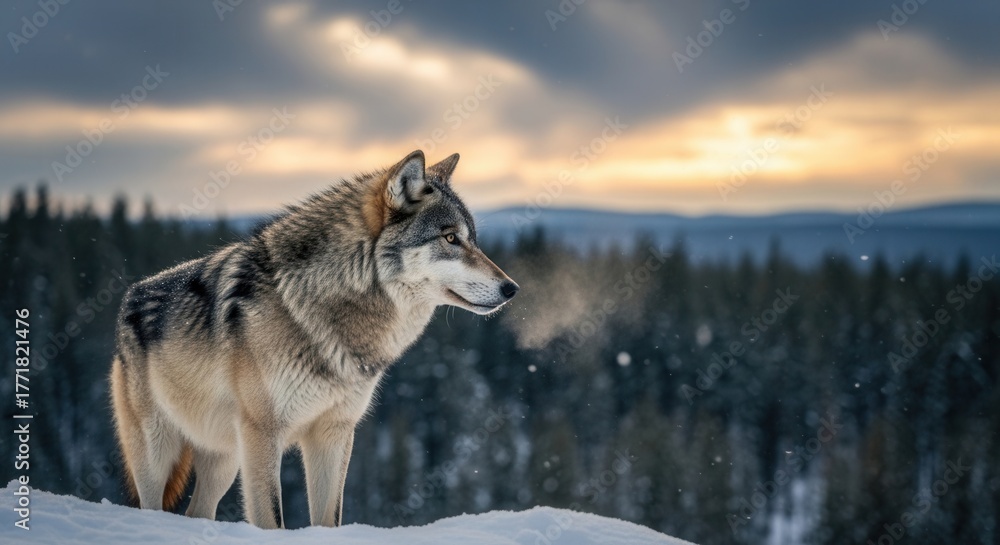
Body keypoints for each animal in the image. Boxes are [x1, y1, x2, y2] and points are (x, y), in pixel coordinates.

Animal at [110, 150, 518, 528]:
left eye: (473, 240)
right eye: (450, 238)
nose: (512, 288)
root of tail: (130, 296)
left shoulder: (334, 433)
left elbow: (328, 518)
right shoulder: (263, 433)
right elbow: (272, 520)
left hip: (224, 460)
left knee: (197, 512)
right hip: (158, 453)